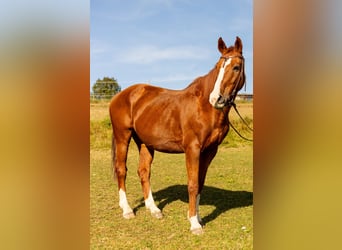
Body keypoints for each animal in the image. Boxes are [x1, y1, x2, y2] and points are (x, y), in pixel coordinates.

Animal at [109, 36, 246, 234]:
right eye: (218, 66)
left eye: (235, 67)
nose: (217, 99)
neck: (204, 107)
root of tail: (120, 96)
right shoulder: (192, 149)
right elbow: (193, 184)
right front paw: (194, 224)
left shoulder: (210, 151)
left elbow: (200, 183)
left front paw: (198, 218)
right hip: (122, 136)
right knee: (121, 170)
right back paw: (127, 210)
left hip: (145, 143)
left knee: (144, 172)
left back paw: (154, 209)